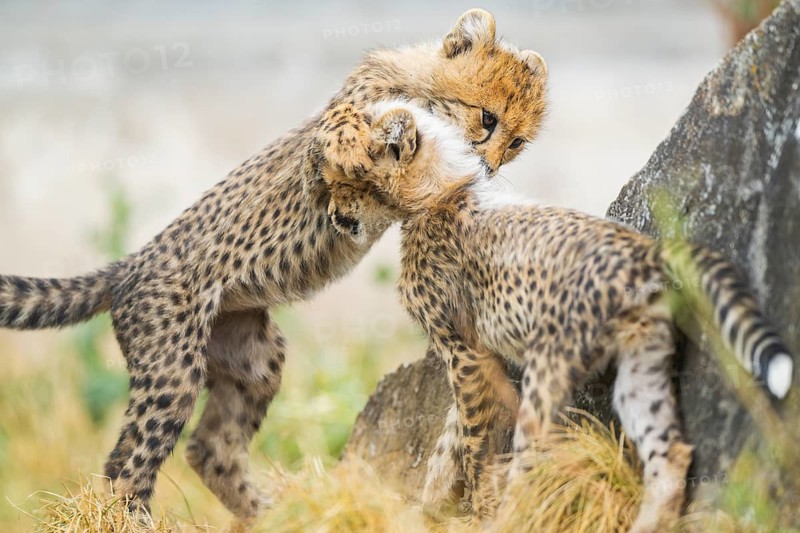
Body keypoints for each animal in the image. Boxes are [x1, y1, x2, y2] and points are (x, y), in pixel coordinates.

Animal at [0, 9, 548, 521]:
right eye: (488, 118)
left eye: (518, 142)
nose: (489, 168)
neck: (420, 90)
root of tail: (129, 265)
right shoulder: (321, 160)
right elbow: (339, 128)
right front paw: (365, 139)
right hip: (171, 367)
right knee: (126, 464)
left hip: (254, 360)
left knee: (209, 448)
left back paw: (271, 512)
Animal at [319, 101, 795, 532]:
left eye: (344, 176)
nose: (333, 216)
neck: (441, 188)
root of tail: (644, 247)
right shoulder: (475, 353)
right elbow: (451, 437)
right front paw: (430, 501)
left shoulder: (463, 352)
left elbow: (473, 441)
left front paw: (472, 507)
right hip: (641, 365)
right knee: (671, 451)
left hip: (549, 364)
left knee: (534, 458)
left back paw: (509, 520)